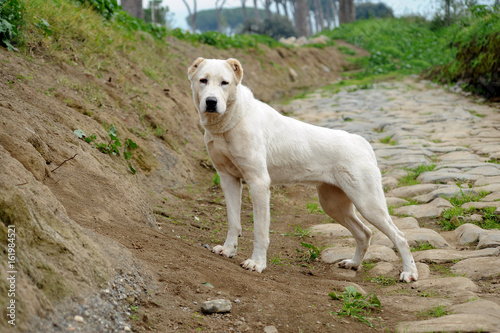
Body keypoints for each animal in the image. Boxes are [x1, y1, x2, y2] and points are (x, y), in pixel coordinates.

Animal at [188, 57, 418, 280]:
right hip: (333, 205)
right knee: (364, 233)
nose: (211, 102)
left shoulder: (259, 183)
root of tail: (361, 142)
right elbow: (233, 222)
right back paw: (353, 264)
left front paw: (257, 263)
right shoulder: (228, 179)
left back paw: (409, 273)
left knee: (400, 236)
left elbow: (260, 231)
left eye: (225, 83)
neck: (230, 121)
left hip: (368, 203)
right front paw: (228, 250)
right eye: (203, 80)